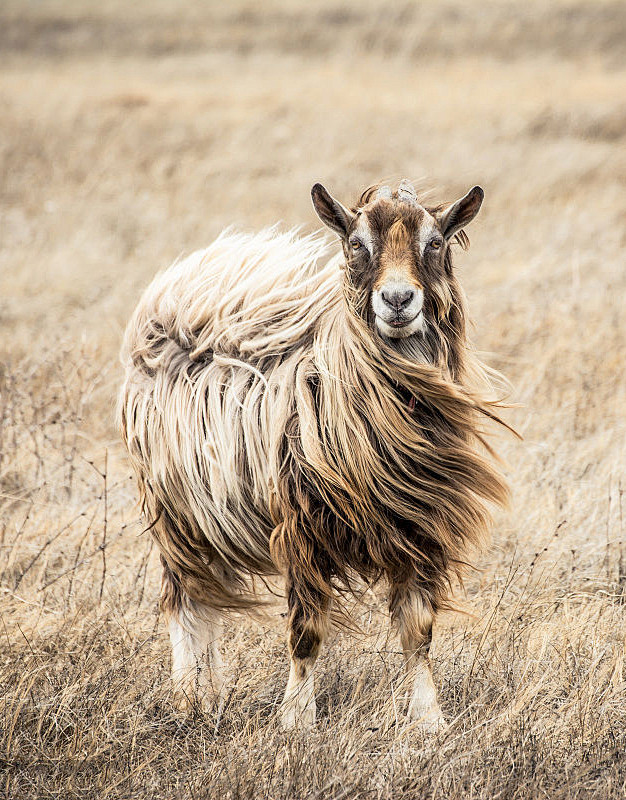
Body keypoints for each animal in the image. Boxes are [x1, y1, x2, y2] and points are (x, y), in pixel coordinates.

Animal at [117, 181, 508, 732]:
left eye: (435, 242)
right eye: (356, 243)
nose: (397, 299)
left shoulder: (417, 526)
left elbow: (418, 631)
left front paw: (430, 720)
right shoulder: (301, 529)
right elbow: (305, 634)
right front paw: (297, 720)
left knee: (207, 603)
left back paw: (211, 693)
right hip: (174, 513)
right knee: (187, 601)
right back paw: (191, 699)